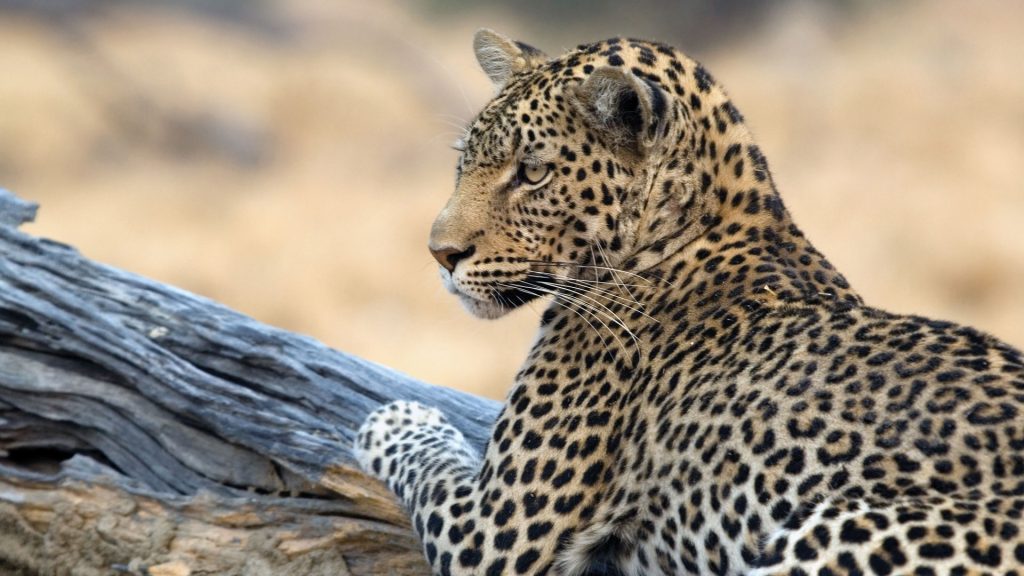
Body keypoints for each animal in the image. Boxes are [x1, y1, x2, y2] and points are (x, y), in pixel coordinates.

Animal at [354, 29, 1024, 576]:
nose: (440, 254)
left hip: (834, 530)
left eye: (533, 172)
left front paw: (398, 417)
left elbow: (428, 457)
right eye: (464, 162)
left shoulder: (494, 529)